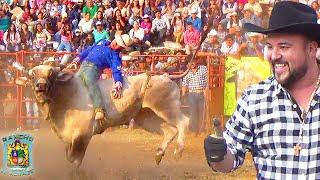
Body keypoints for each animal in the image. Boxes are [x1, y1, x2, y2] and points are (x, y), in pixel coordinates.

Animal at [13, 61, 190, 167]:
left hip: (166, 107)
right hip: (148, 117)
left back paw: (178, 151)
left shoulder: (82, 135)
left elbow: (75, 161)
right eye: (32, 75)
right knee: (170, 130)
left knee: (183, 122)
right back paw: (159, 154)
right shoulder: (67, 138)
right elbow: (69, 159)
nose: (41, 86)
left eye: (51, 74)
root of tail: (166, 76)